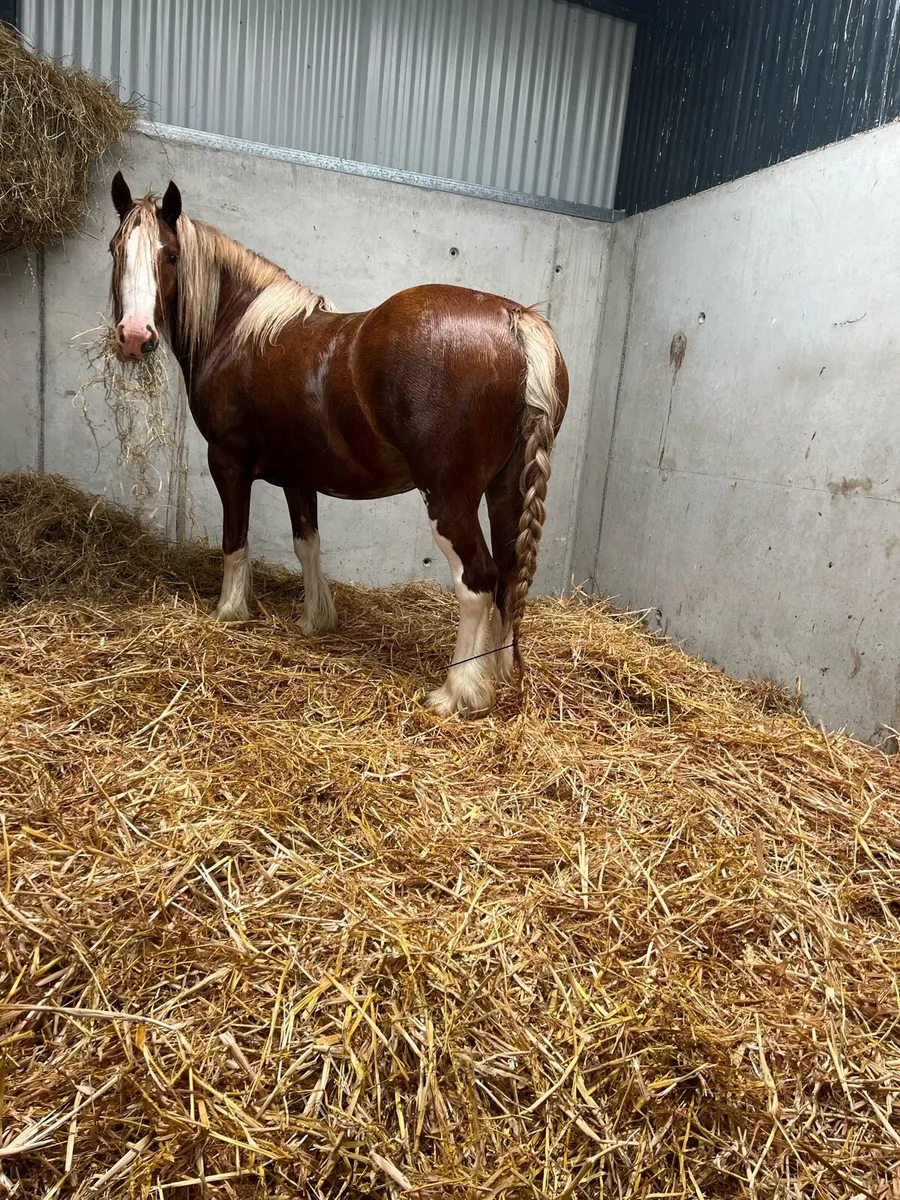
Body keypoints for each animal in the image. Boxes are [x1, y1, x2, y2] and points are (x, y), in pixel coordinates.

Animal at [106, 171, 568, 716]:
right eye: (116, 249)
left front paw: (229, 611)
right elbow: (307, 544)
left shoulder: (227, 462)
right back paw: (493, 676)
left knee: (478, 580)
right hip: (505, 492)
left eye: (171, 255)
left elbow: (235, 540)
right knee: (509, 576)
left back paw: (457, 692)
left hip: (449, 499)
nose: (134, 337)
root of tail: (515, 320)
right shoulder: (298, 476)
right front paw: (315, 620)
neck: (238, 331)